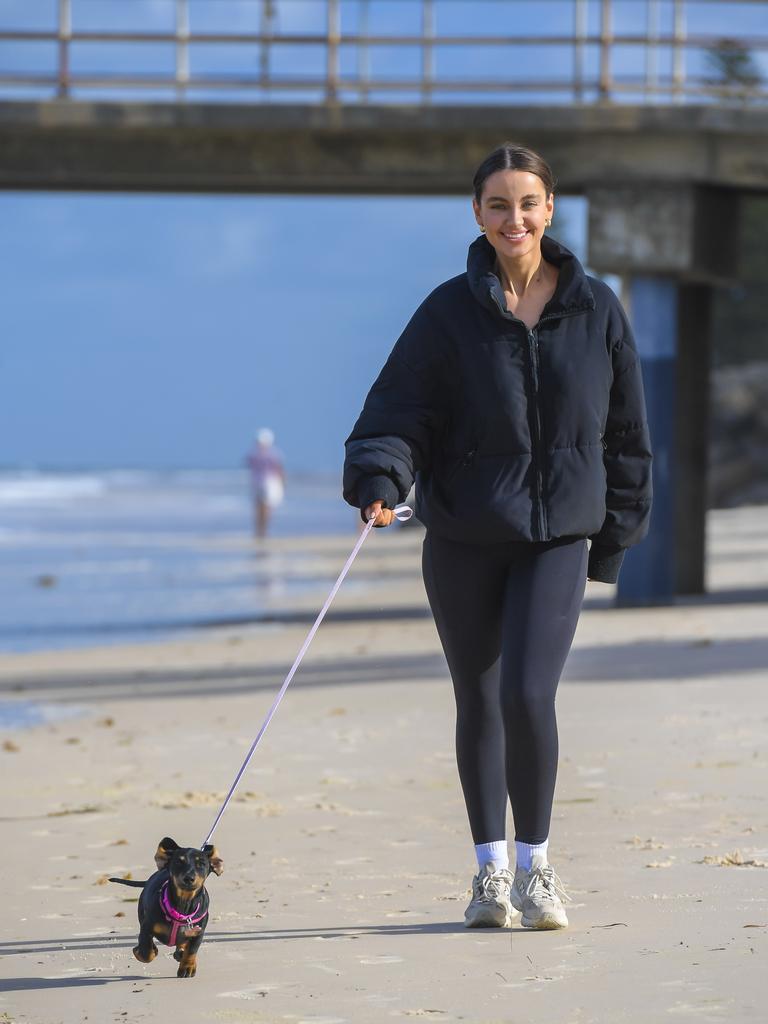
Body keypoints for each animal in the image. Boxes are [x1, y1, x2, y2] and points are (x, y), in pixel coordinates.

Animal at [111, 835, 225, 978]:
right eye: (178, 862)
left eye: (202, 864)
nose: (189, 878)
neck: (182, 909)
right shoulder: (146, 927)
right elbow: (145, 951)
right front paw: (144, 951)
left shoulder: (198, 932)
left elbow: (192, 950)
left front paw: (187, 968)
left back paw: (180, 953)